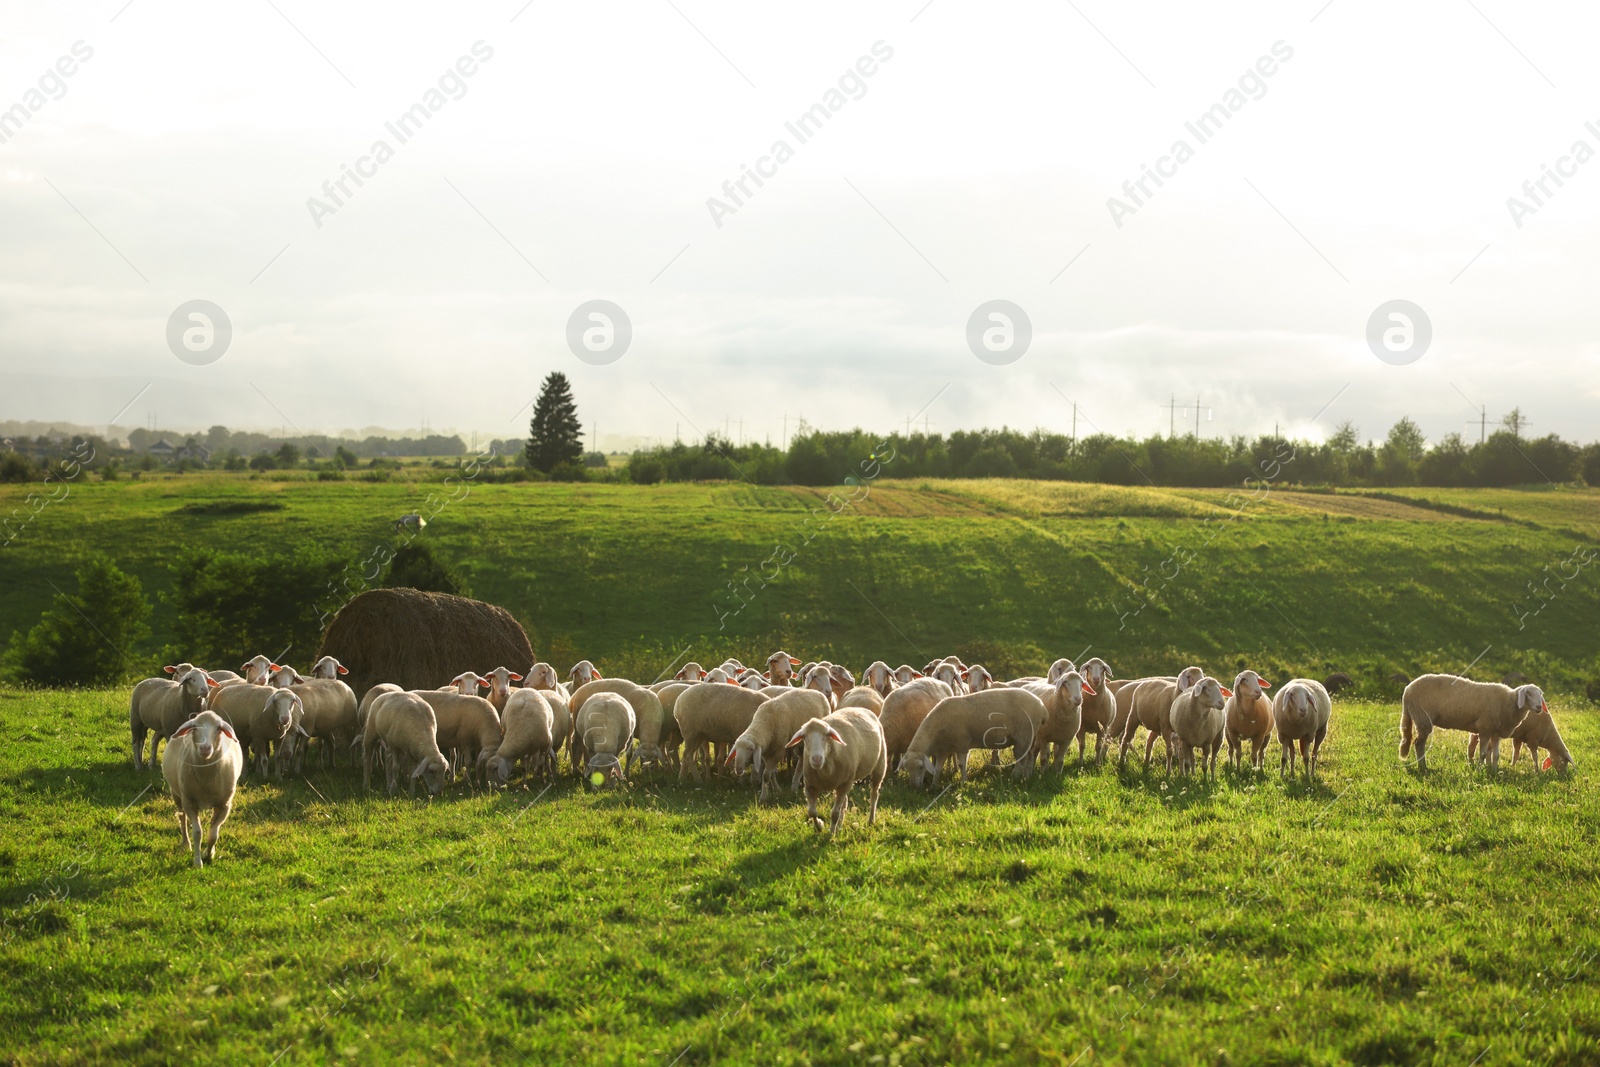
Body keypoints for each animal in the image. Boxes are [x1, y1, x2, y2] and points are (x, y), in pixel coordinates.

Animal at [160, 710, 243, 870]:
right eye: (194, 727)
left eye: (218, 727)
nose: (205, 748)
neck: (206, 778)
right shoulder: (190, 802)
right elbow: (197, 832)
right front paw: (198, 862)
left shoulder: (224, 805)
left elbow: (213, 834)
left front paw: (208, 854)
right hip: (177, 794)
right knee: (182, 817)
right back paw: (186, 844)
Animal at [896, 687, 1043, 790]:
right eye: (907, 769)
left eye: (921, 767)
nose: (914, 787)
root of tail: (1041, 707)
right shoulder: (943, 750)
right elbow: (937, 768)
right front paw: (934, 785)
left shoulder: (962, 743)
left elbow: (962, 765)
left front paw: (963, 782)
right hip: (1029, 736)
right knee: (1030, 756)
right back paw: (1027, 776)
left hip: (1023, 735)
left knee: (1021, 758)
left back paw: (1016, 776)